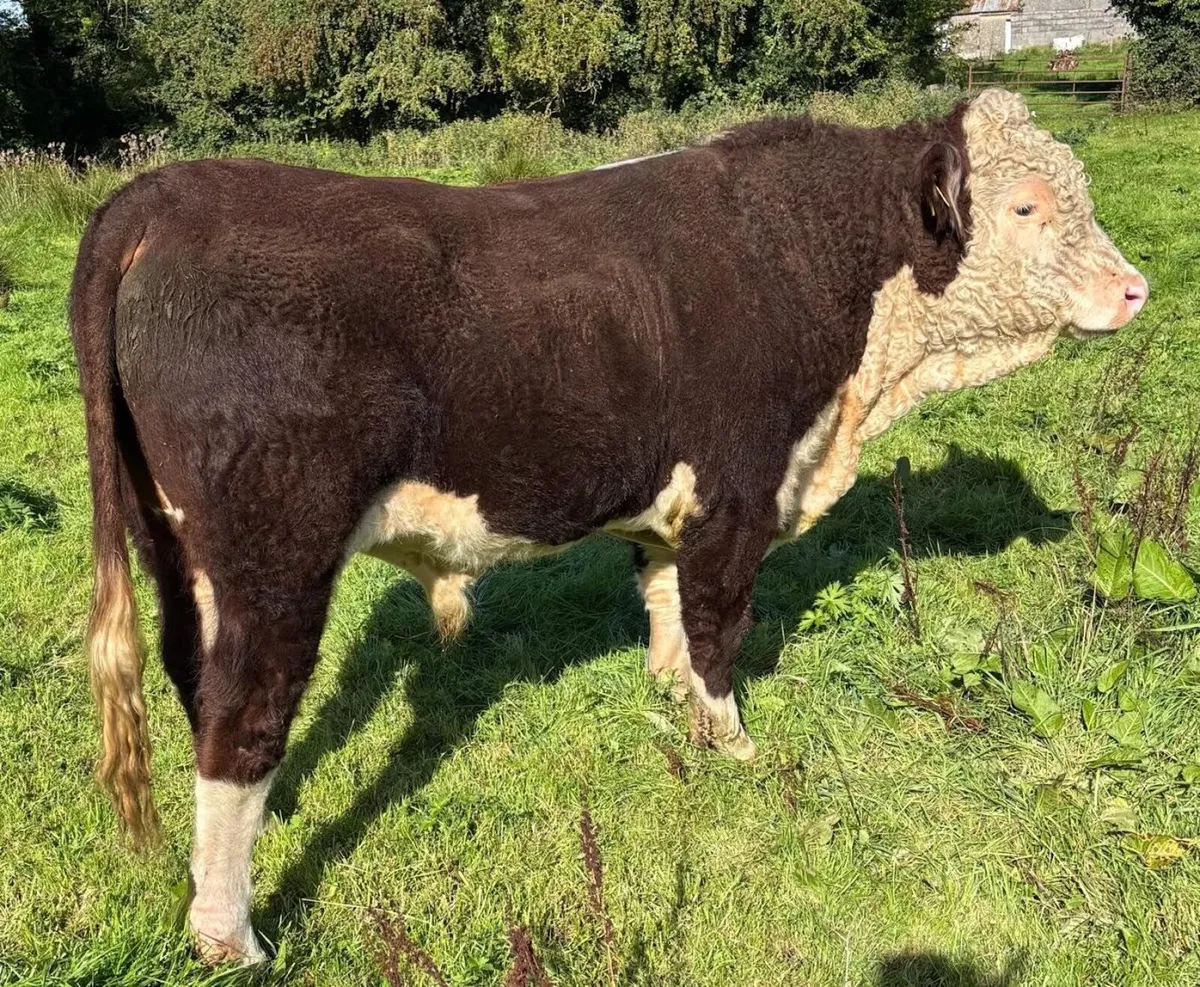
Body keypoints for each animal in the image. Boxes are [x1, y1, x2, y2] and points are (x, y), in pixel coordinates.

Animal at [69, 88, 1148, 963]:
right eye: (1027, 206)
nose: (1137, 288)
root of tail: (162, 194)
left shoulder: (674, 505)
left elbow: (664, 601)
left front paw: (672, 705)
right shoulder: (738, 493)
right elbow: (718, 623)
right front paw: (730, 742)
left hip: (180, 547)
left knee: (196, 679)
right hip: (275, 552)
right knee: (242, 714)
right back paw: (231, 935)